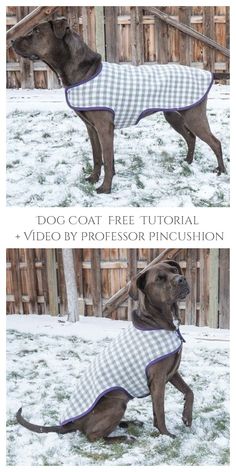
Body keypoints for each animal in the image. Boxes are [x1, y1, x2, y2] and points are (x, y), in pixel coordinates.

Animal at [11, 16, 227, 194]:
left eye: (36, 31)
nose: (11, 40)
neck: (84, 71)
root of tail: (208, 73)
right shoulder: (91, 128)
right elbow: (98, 156)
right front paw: (93, 178)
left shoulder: (104, 128)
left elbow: (107, 159)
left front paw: (105, 188)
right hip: (173, 115)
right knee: (191, 138)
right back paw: (188, 162)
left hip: (194, 116)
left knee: (215, 142)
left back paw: (221, 170)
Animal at [16, 260, 194, 444]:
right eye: (159, 278)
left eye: (174, 270)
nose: (181, 279)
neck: (159, 321)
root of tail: (71, 424)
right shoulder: (158, 379)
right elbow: (160, 411)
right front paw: (166, 434)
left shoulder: (171, 372)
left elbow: (189, 391)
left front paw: (187, 417)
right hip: (117, 402)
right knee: (93, 436)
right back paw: (124, 437)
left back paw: (129, 423)